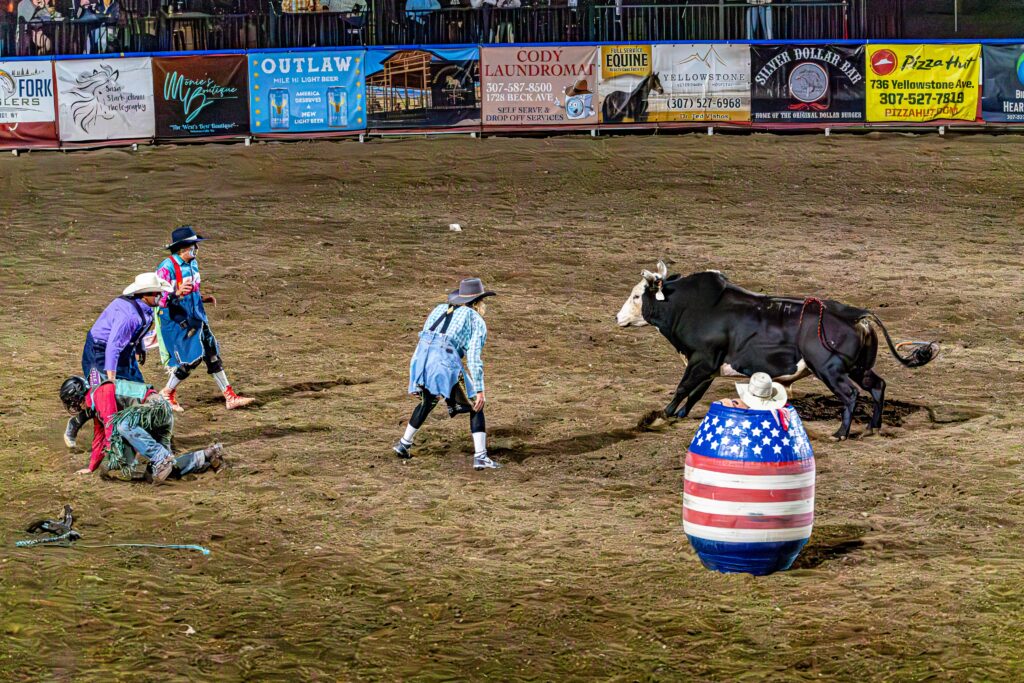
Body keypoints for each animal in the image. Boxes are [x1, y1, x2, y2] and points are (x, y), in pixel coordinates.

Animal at [610, 264, 937, 440]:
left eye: (637, 295)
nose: (617, 317)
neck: (694, 307)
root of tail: (856, 314)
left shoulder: (701, 360)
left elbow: (682, 388)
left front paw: (660, 417)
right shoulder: (710, 366)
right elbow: (694, 393)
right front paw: (678, 415)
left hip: (830, 370)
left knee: (851, 394)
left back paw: (841, 433)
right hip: (858, 367)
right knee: (878, 386)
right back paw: (872, 427)